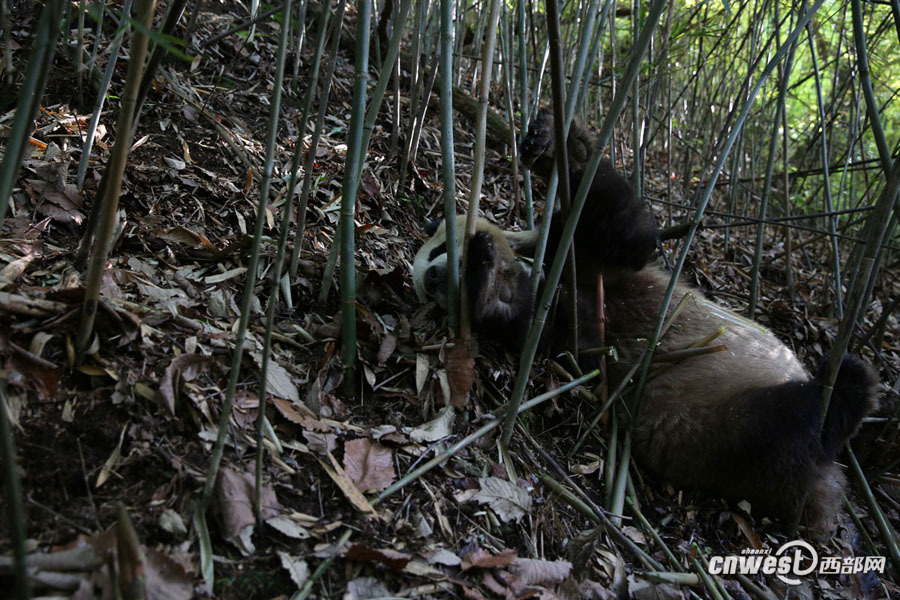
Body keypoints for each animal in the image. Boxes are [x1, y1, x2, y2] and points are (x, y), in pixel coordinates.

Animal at [414, 109, 880, 540]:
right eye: (424, 282)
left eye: (437, 248)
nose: (433, 278)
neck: (536, 274)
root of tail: (821, 497)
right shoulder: (561, 330)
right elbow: (540, 328)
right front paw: (484, 280)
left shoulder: (593, 259)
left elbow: (623, 230)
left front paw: (555, 141)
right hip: (725, 436)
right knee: (781, 430)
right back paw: (839, 396)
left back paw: (846, 378)